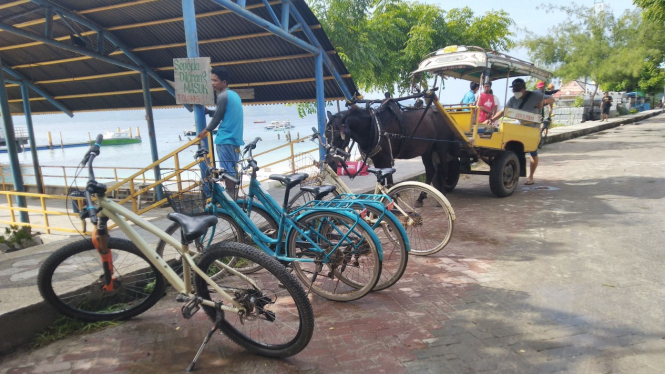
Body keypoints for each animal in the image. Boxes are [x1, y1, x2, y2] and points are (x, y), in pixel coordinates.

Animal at [326, 102, 456, 196]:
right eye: (326, 134)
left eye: (339, 135)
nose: (330, 159)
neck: (375, 128)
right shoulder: (377, 160)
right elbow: (382, 182)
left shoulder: (386, 159)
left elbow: (389, 182)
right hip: (427, 150)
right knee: (430, 171)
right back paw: (421, 198)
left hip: (441, 146)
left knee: (444, 168)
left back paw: (443, 192)